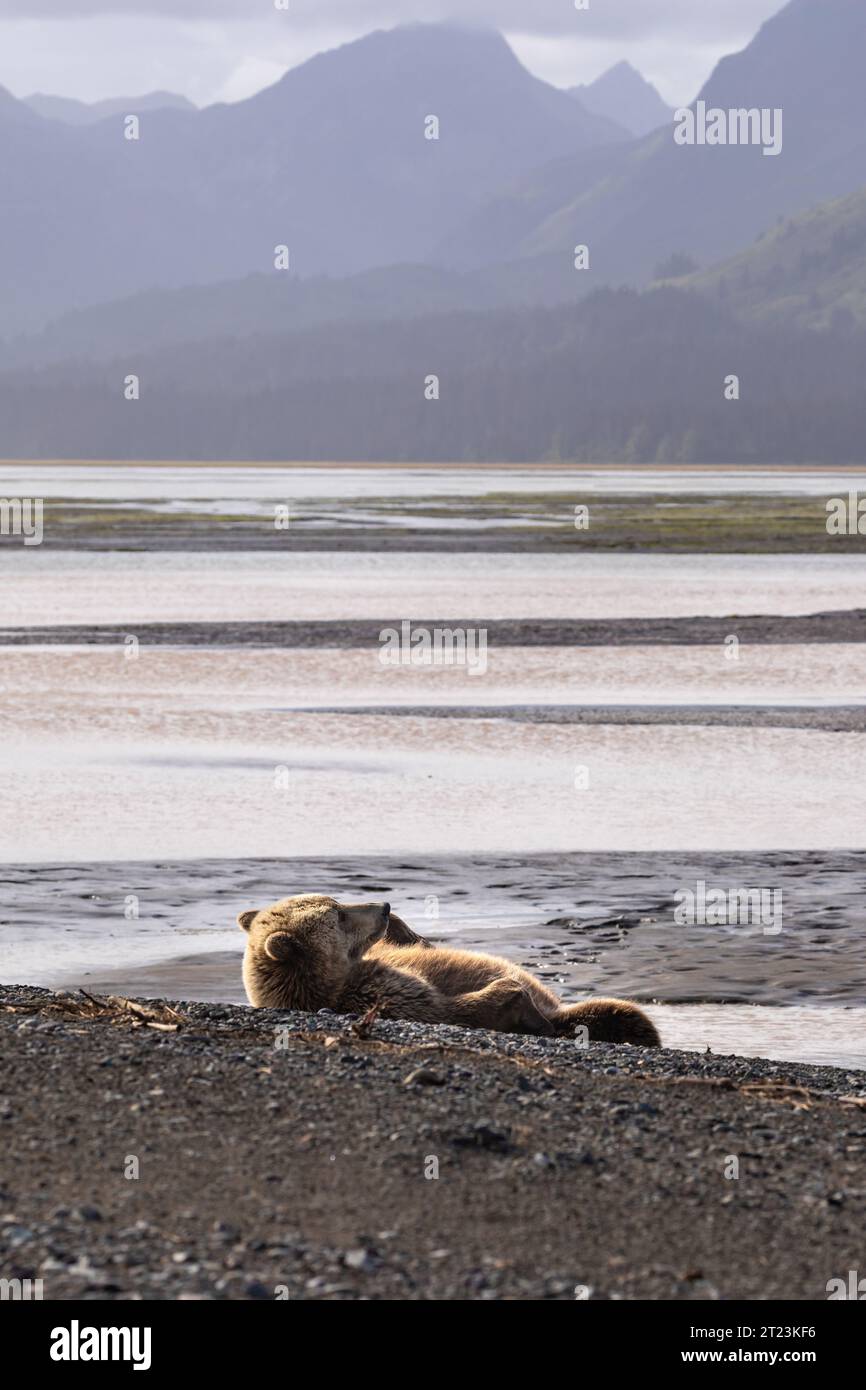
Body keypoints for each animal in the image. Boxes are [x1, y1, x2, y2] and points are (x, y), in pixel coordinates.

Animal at [237, 895, 656, 1045]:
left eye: (336, 901)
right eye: (337, 915)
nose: (384, 907)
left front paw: (407, 928)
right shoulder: (380, 994)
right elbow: (457, 1008)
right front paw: (519, 1003)